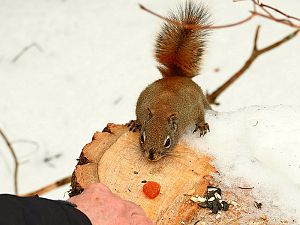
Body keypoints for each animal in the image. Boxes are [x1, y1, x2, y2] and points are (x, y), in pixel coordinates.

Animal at [129, 0, 211, 161]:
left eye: (168, 142)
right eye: (142, 137)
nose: (151, 156)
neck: (163, 108)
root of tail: (176, 76)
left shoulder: (193, 107)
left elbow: (200, 114)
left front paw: (202, 125)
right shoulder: (142, 107)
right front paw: (136, 122)